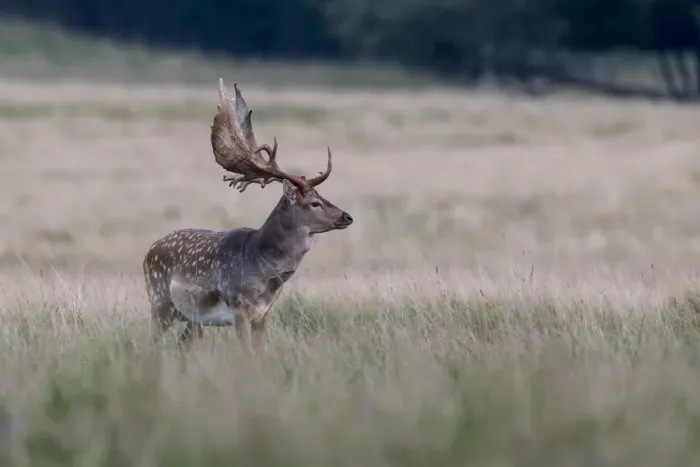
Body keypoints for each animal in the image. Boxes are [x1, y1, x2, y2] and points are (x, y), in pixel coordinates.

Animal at [142, 79, 353, 352]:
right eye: (315, 202)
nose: (347, 217)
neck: (264, 271)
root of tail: (148, 251)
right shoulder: (238, 307)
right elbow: (247, 352)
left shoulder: (264, 313)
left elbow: (259, 351)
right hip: (159, 301)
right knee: (151, 341)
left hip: (191, 317)